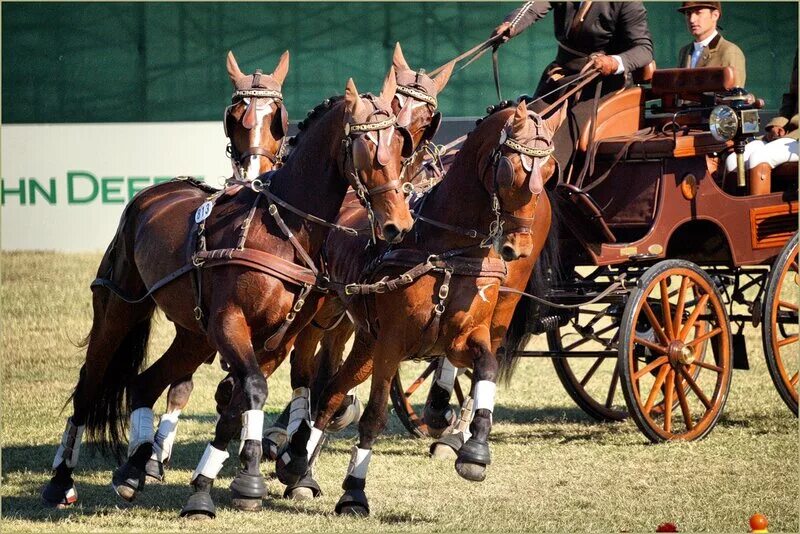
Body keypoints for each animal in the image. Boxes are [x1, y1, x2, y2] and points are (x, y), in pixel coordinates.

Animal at [41, 67, 416, 520]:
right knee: (90, 382)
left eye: (401, 144)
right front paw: (246, 477)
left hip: (195, 334)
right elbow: (251, 388)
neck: (280, 228)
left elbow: (239, 400)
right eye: (365, 147)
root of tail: (152, 194)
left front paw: (216, 483)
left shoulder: (278, 339)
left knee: (146, 384)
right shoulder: (230, 321)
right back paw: (62, 481)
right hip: (119, 310)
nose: (398, 223)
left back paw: (134, 469)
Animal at [284, 100, 564, 516]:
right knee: (307, 371)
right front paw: (354, 492)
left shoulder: (463, 338)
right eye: (509, 168)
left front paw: (474, 451)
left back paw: (305, 469)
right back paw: (297, 461)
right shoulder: (391, 343)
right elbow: (375, 416)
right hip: (323, 316)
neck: (444, 247)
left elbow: (486, 367)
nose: (519, 248)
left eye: (548, 172)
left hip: (366, 339)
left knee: (333, 391)